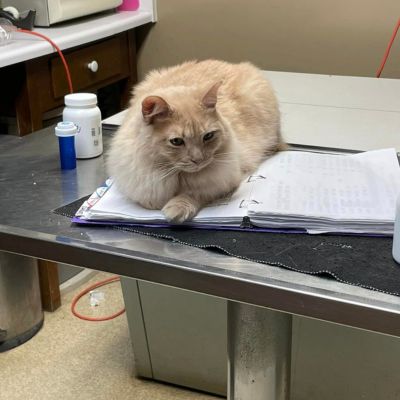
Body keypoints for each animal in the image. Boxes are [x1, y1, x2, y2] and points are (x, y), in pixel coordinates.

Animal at [105, 59, 282, 222]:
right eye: (176, 141)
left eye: (208, 136)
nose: (199, 160)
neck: (177, 176)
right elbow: (151, 200)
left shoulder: (220, 181)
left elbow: (191, 195)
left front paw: (176, 209)